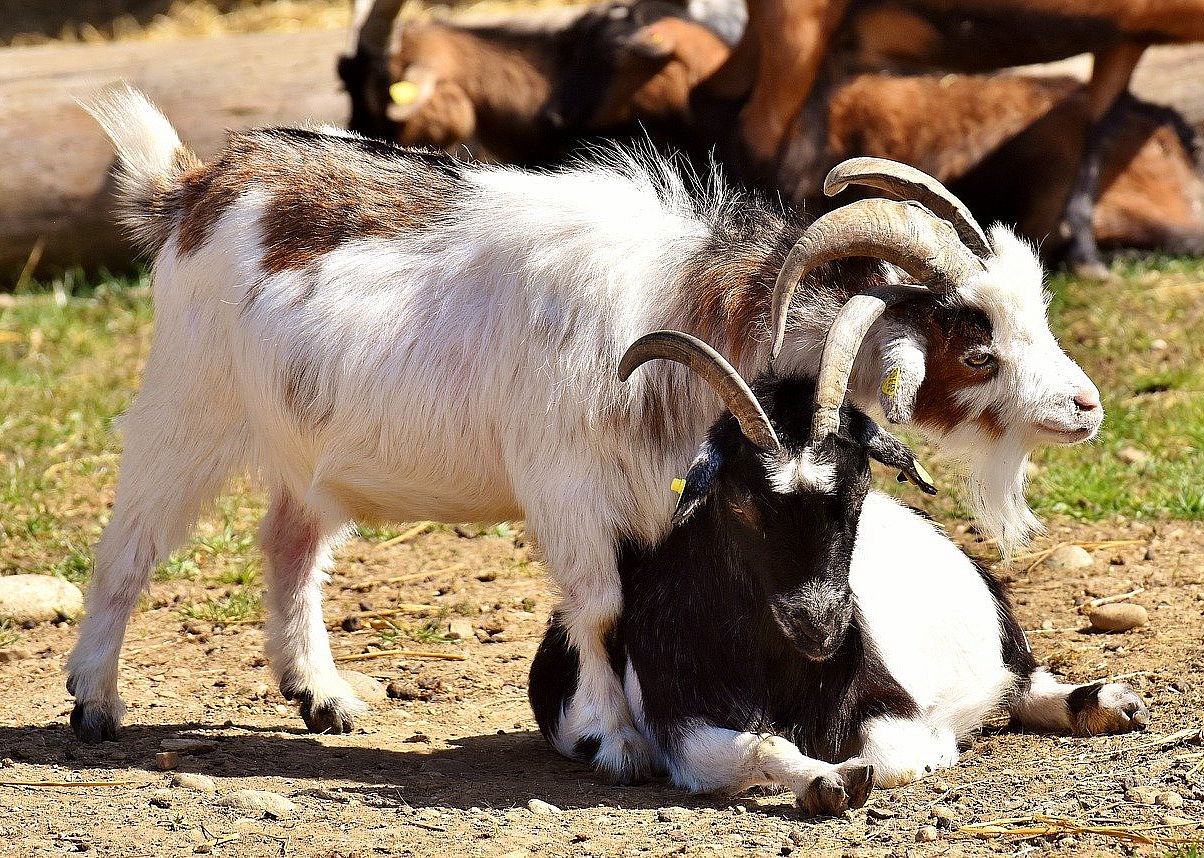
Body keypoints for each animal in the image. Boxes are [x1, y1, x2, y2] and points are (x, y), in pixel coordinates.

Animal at [73, 89, 1101, 785]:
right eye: (976, 343)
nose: (1085, 407)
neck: (686, 314)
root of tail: (195, 187)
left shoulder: (662, 498)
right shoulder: (568, 485)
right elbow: (602, 610)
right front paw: (619, 741)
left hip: (305, 446)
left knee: (290, 542)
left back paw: (321, 695)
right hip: (191, 404)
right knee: (128, 544)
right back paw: (94, 701)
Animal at [531, 330, 1148, 807]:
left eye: (857, 489)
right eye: (739, 503)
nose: (821, 624)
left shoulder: (889, 707)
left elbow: (899, 753)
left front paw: (932, 748)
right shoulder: (681, 722)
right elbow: (760, 745)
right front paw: (825, 781)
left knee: (1025, 683)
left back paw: (1109, 702)